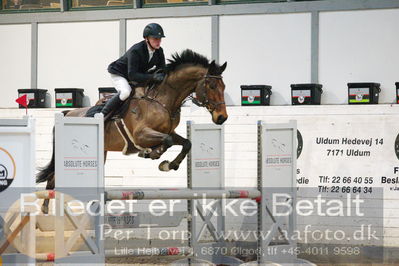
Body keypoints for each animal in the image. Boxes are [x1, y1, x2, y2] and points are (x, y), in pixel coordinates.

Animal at [36, 49, 230, 212]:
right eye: (212, 86)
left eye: (224, 87)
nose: (222, 118)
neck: (163, 100)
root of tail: (69, 112)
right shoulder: (141, 135)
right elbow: (166, 141)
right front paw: (153, 154)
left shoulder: (170, 132)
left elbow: (186, 143)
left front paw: (169, 164)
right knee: (53, 178)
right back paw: (45, 209)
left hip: (101, 153)